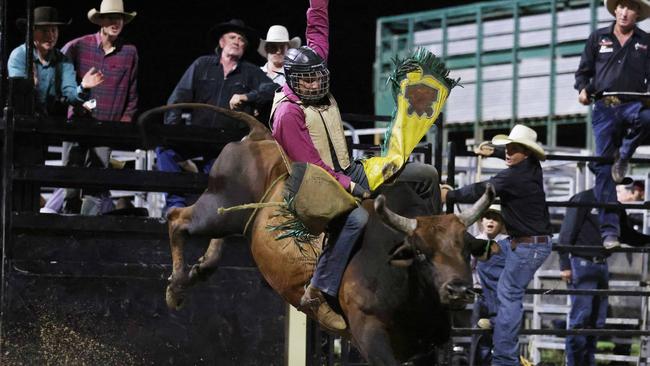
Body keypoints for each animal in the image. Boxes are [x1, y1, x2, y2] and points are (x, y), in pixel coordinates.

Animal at [163, 106, 492, 364]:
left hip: (228, 215)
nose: (459, 290)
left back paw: (201, 268)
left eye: (467, 249)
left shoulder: (432, 345)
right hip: (217, 206)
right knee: (176, 219)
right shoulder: (370, 336)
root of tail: (259, 135)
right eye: (421, 252)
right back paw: (177, 286)